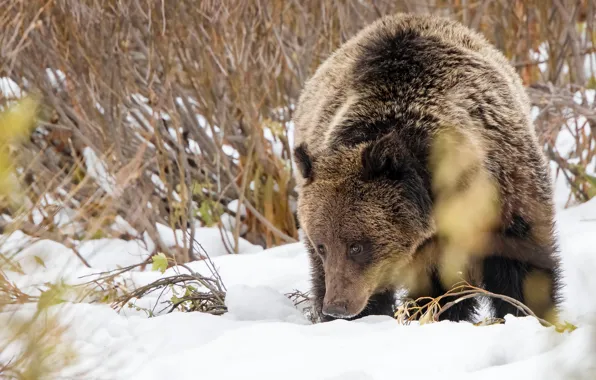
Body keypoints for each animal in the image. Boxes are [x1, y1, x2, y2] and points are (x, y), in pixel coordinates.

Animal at [292, 14, 560, 324]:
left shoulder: (504, 189)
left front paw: (527, 312)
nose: (336, 307)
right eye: (322, 245)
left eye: (356, 246)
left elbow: (521, 265)